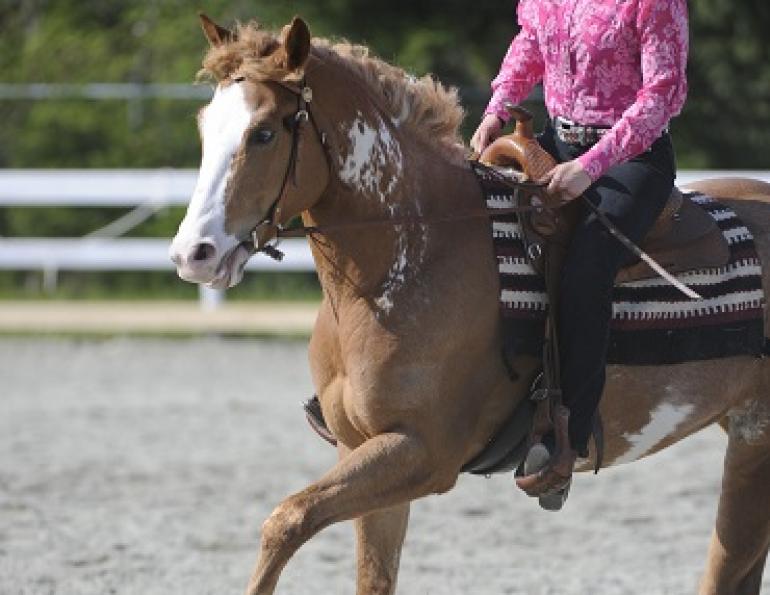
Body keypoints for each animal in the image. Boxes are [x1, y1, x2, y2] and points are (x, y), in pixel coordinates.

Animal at [169, 15, 770, 595]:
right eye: (204, 126)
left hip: (754, 439)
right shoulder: (361, 449)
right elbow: (365, 572)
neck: (411, 257)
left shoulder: (422, 454)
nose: (193, 253)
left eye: (264, 132)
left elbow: (287, 519)